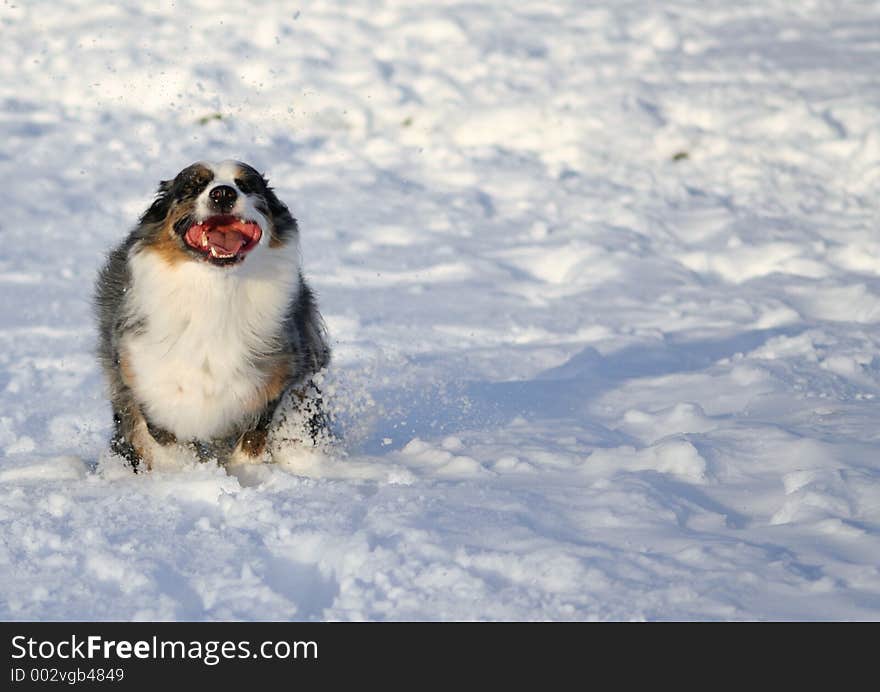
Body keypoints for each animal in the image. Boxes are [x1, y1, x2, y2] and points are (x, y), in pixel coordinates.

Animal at [94, 161, 330, 470]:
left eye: (246, 185)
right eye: (194, 185)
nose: (222, 194)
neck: (215, 289)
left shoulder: (280, 371)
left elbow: (254, 435)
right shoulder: (141, 372)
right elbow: (162, 433)